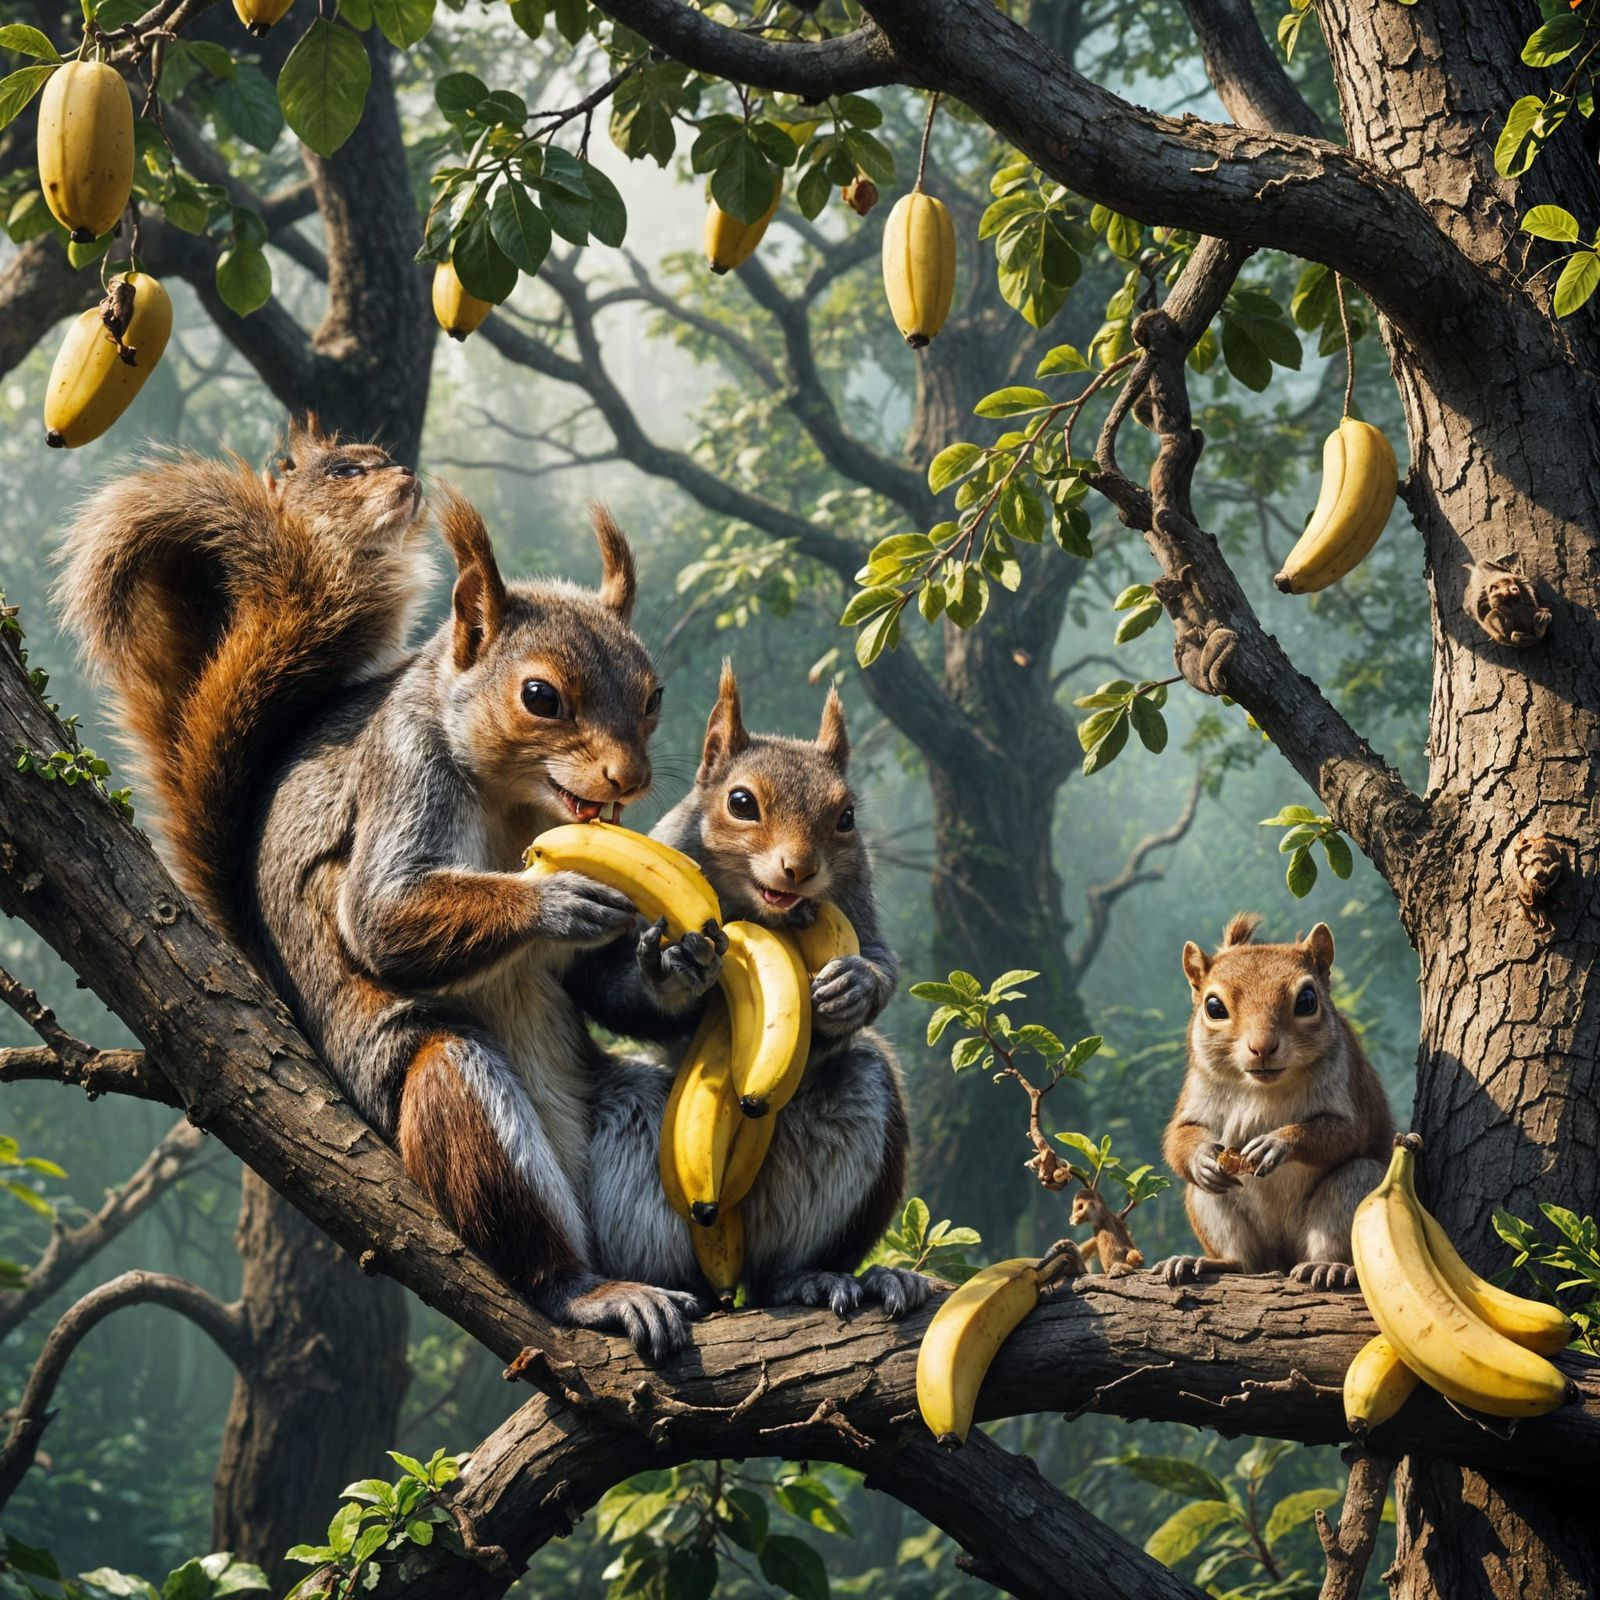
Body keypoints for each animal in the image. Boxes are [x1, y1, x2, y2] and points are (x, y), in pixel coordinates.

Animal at [58, 438, 709, 1359]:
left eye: (653, 696)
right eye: (539, 696)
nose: (630, 781)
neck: (515, 804)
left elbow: (597, 980)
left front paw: (675, 962)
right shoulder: (403, 774)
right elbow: (382, 916)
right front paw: (557, 895)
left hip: (636, 1116)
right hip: (445, 1083)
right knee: (529, 1238)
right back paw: (591, 1290)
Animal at [581, 663, 929, 1318]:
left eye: (846, 817)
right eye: (740, 802)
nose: (799, 869)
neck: (760, 912)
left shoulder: (857, 899)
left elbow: (881, 959)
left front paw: (855, 985)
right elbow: (608, 984)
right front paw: (671, 976)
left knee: (778, 1272)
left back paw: (819, 1278)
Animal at [1154, 913, 1393, 1291]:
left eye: (1307, 1000)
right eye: (1213, 1007)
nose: (1262, 1046)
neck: (1262, 1088)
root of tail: (1282, 1258)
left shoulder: (1350, 1086)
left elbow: (1346, 1134)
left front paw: (1277, 1143)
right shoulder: (1198, 1086)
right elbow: (1181, 1133)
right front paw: (1200, 1156)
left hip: (1355, 1189)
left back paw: (1329, 1266)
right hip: (1209, 1203)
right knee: (1242, 1259)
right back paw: (1207, 1261)